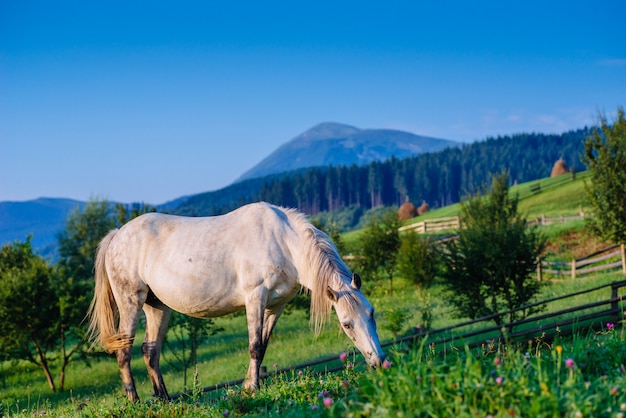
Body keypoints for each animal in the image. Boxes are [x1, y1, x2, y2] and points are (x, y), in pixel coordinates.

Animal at [85, 202, 382, 402]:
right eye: (346, 324)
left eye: (372, 314)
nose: (379, 361)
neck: (283, 243)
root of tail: (117, 235)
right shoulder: (255, 299)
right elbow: (254, 346)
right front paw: (253, 388)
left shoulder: (275, 306)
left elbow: (263, 346)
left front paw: (250, 386)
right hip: (130, 302)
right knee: (124, 351)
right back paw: (134, 400)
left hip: (157, 307)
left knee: (150, 351)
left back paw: (164, 399)